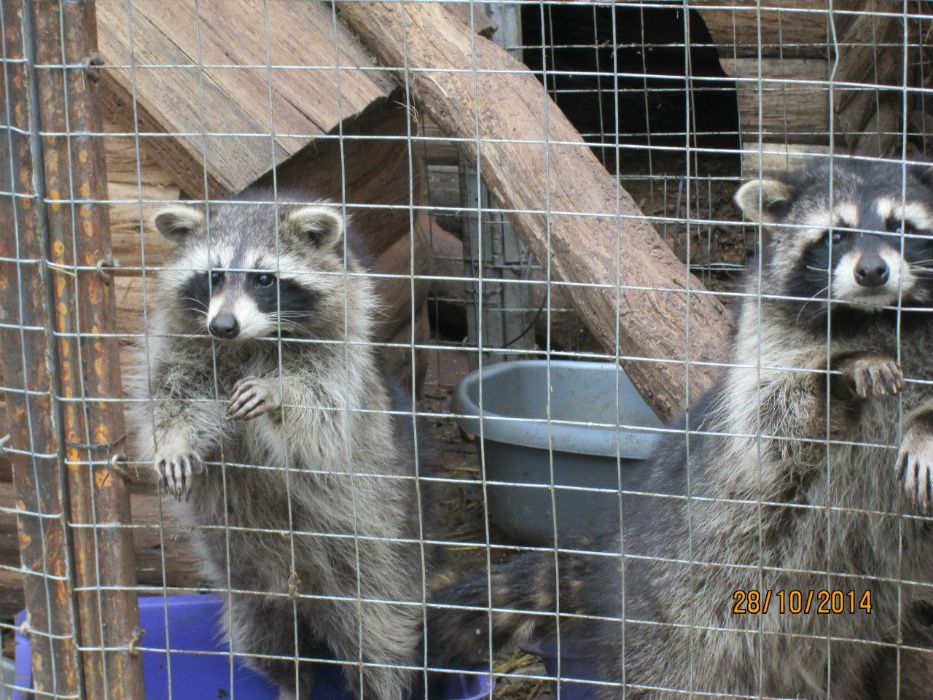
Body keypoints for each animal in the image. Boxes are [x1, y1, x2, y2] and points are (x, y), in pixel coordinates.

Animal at [127, 189, 422, 696]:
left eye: (264, 279)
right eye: (214, 275)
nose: (223, 325)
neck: (248, 341)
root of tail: (303, 592)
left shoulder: (342, 351)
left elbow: (321, 412)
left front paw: (276, 392)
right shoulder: (184, 338)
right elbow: (170, 392)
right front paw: (174, 442)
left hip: (372, 545)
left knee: (378, 631)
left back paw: (380, 681)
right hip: (246, 584)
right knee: (267, 636)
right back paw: (291, 682)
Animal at [432, 160, 932, 700]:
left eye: (901, 226)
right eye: (836, 235)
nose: (872, 271)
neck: (873, 316)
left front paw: (922, 426)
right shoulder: (765, 347)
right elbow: (773, 421)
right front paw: (846, 368)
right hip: (682, 625)